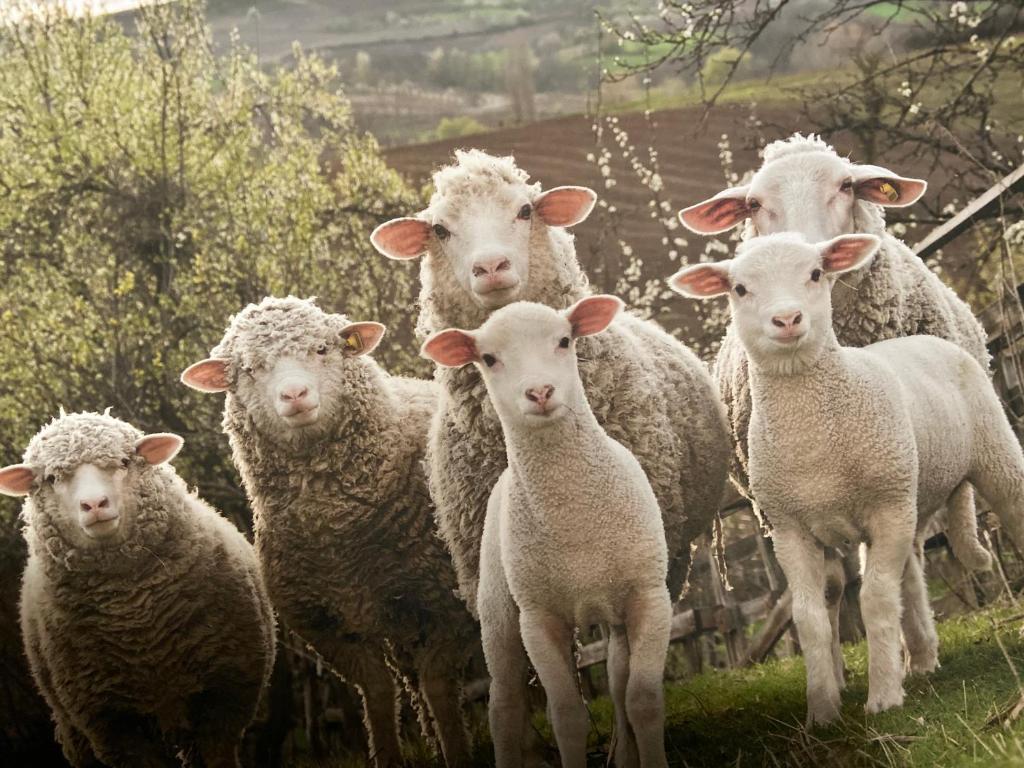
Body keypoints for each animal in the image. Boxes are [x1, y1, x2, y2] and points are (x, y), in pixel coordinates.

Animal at [0, 411, 275, 767]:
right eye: (51, 478)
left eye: (123, 461)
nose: (94, 504)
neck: (139, 626)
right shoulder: (111, 722)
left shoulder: (225, 696)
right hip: (72, 726)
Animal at [180, 295, 478, 768]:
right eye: (249, 369)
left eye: (322, 349)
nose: (294, 395)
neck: (341, 536)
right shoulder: (327, 626)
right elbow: (378, 694)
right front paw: (390, 758)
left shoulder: (447, 607)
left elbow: (441, 690)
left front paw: (461, 755)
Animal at [423, 295, 672, 768]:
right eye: (488, 358)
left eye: (563, 340)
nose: (539, 392)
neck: (574, 514)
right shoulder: (539, 619)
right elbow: (566, 716)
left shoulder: (649, 597)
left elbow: (643, 700)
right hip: (499, 610)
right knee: (504, 702)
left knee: (616, 679)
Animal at [669, 233, 1024, 724]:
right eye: (739, 289)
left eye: (816, 273)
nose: (787, 319)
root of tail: (921, 338)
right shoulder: (790, 529)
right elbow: (810, 616)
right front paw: (821, 709)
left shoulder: (887, 509)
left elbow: (875, 599)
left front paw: (884, 697)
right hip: (909, 495)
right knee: (911, 573)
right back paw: (922, 658)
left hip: (990, 455)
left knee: (1014, 512)